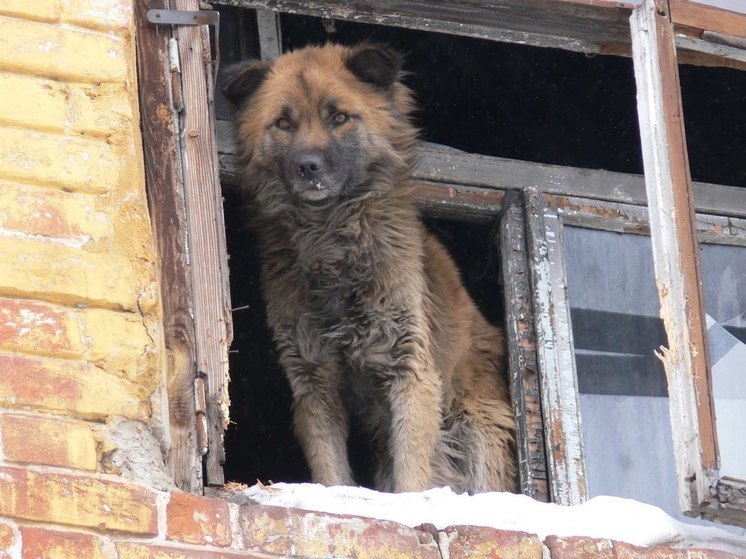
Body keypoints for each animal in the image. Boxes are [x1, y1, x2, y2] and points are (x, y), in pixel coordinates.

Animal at [219, 43, 516, 494]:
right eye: (284, 123)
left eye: (339, 117)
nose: (308, 166)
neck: (331, 239)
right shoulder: (313, 381)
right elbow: (331, 473)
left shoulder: (411, 370)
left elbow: (412, 473)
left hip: (477, 423)